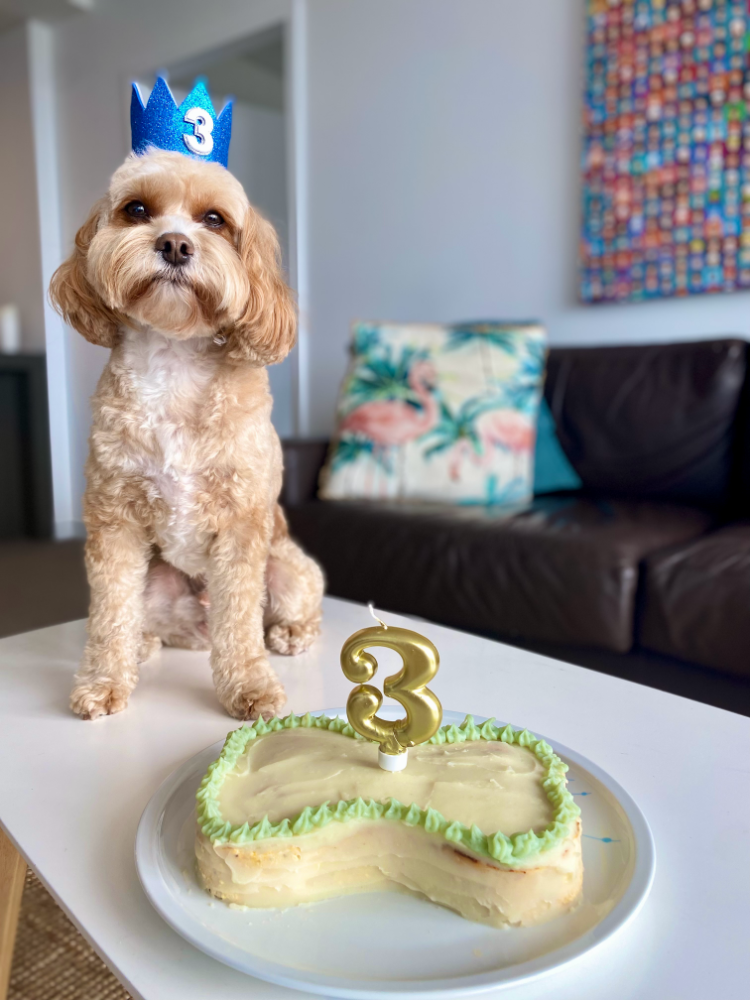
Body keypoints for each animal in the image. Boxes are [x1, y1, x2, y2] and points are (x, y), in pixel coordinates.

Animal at [49, 146, 326, 720]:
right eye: (136, 209)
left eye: (214, 219)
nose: (174, 244)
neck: (175, 362)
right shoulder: (114, 518)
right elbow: (109, 612)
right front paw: (104, 681)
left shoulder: (242, 522)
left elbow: (240, 622)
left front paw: (249, 687)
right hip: (155, 582)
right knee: (147, 619)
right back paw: (143, 643)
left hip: (288, 567)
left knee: (281, 611)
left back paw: (290, 633)